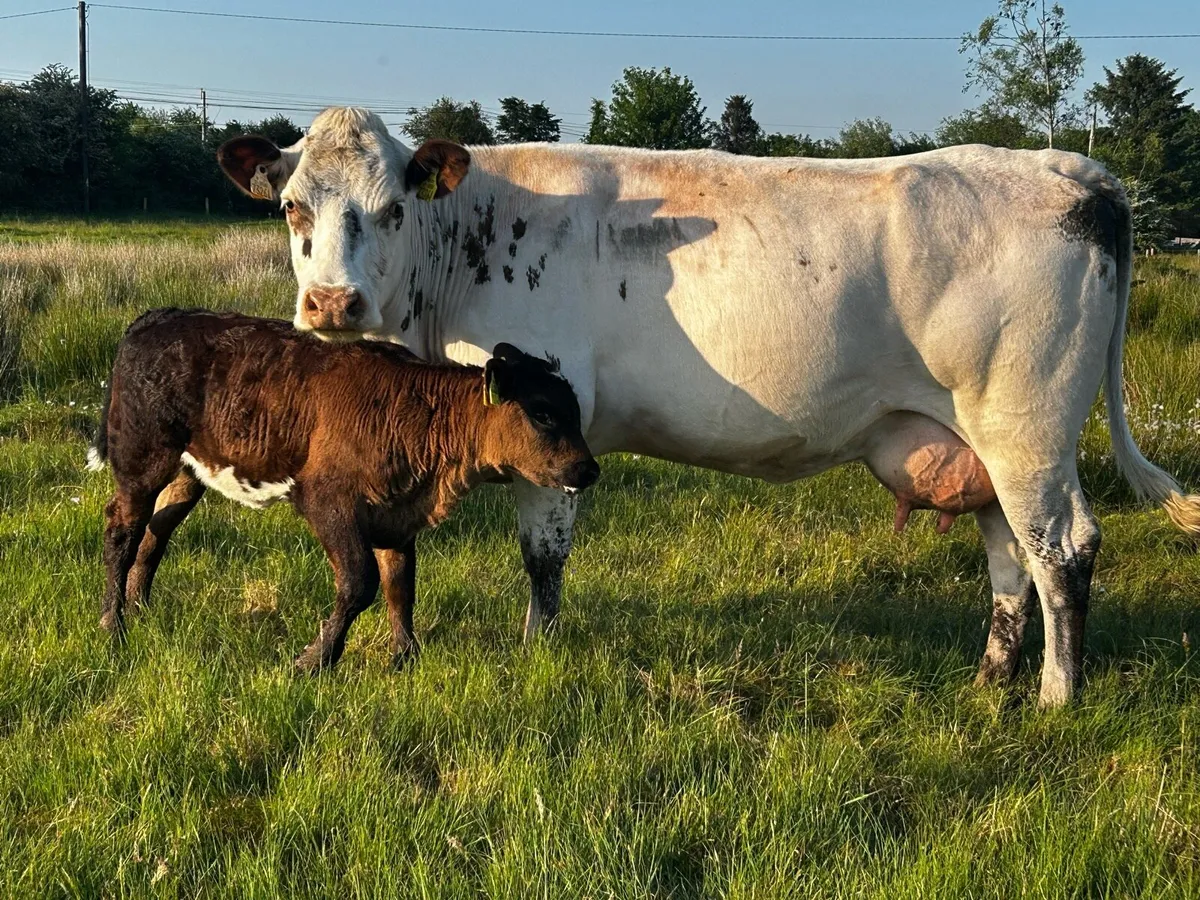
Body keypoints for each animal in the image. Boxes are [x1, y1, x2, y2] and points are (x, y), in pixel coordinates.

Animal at [87, 308, 599, 670]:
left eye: (574, 411)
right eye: (543, 413)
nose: (589, 469)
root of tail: (157, 317)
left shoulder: (397, 516)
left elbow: (400, 584)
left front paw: (404, 657)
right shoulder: (328, 501)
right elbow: (360, 583)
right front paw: (315, 660)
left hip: (188, 471)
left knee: (157, 530)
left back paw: (139, 608)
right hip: (141, 457)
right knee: (122, 529)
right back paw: (113, 626)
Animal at [217, 106, 1200, 706]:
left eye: (391, 209)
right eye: (293, 206)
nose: (333, 303)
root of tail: (1067, 166)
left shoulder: (552, 420)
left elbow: (543, 556)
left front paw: (537, 653)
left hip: (1027, 425)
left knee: (1061, 551)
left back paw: (1056, 698)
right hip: (976, 441)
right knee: (1008, 556)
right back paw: (992, 679)